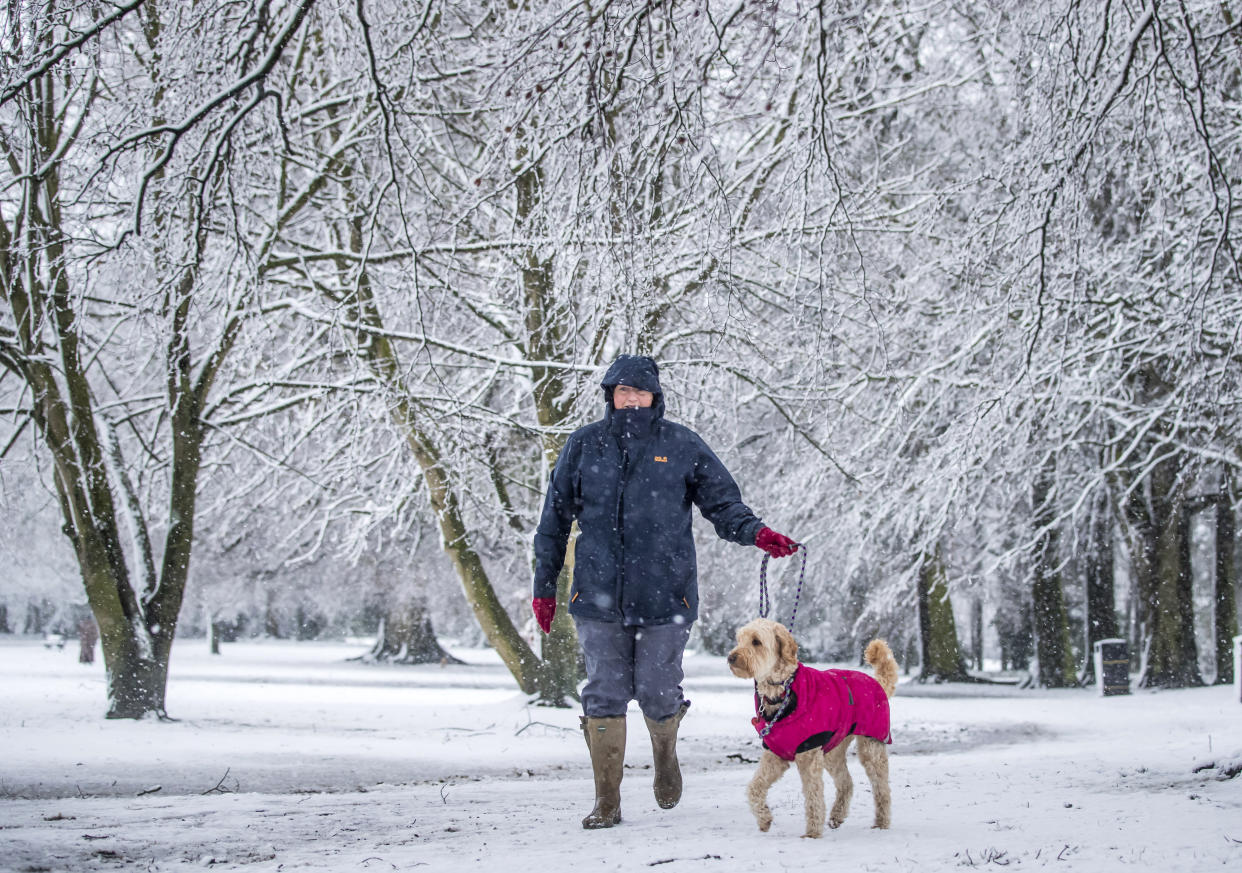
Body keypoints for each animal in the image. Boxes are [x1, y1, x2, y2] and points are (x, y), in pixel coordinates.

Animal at [725, 615, 894, 839]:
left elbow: (814, 795)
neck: (783, 692)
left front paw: (812, 832)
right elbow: (754, 788)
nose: (731, 657)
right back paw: (837, 816)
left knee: (882, 789)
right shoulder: (775, 754)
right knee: (846, 783)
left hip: (871, 748)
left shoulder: (808, 752)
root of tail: (877, 682)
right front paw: (764, 819)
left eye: (756, 641)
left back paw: (882, 822)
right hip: (832, 750)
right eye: (739, 639)